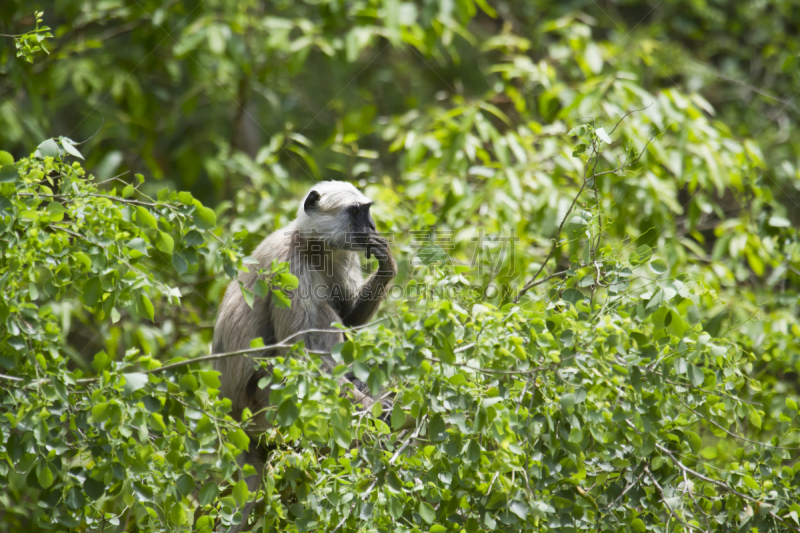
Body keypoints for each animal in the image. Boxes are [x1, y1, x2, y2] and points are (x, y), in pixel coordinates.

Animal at [211, 181, 396, 528]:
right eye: (356, 212)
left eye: (367, 211)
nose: (371, 227)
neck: (313, 247)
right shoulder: (290, 267)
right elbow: (301, 357)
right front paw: (378, 411)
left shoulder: (339, 254)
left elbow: (348, 318)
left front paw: (387, 266)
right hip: (264, 404)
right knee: (321, 315)